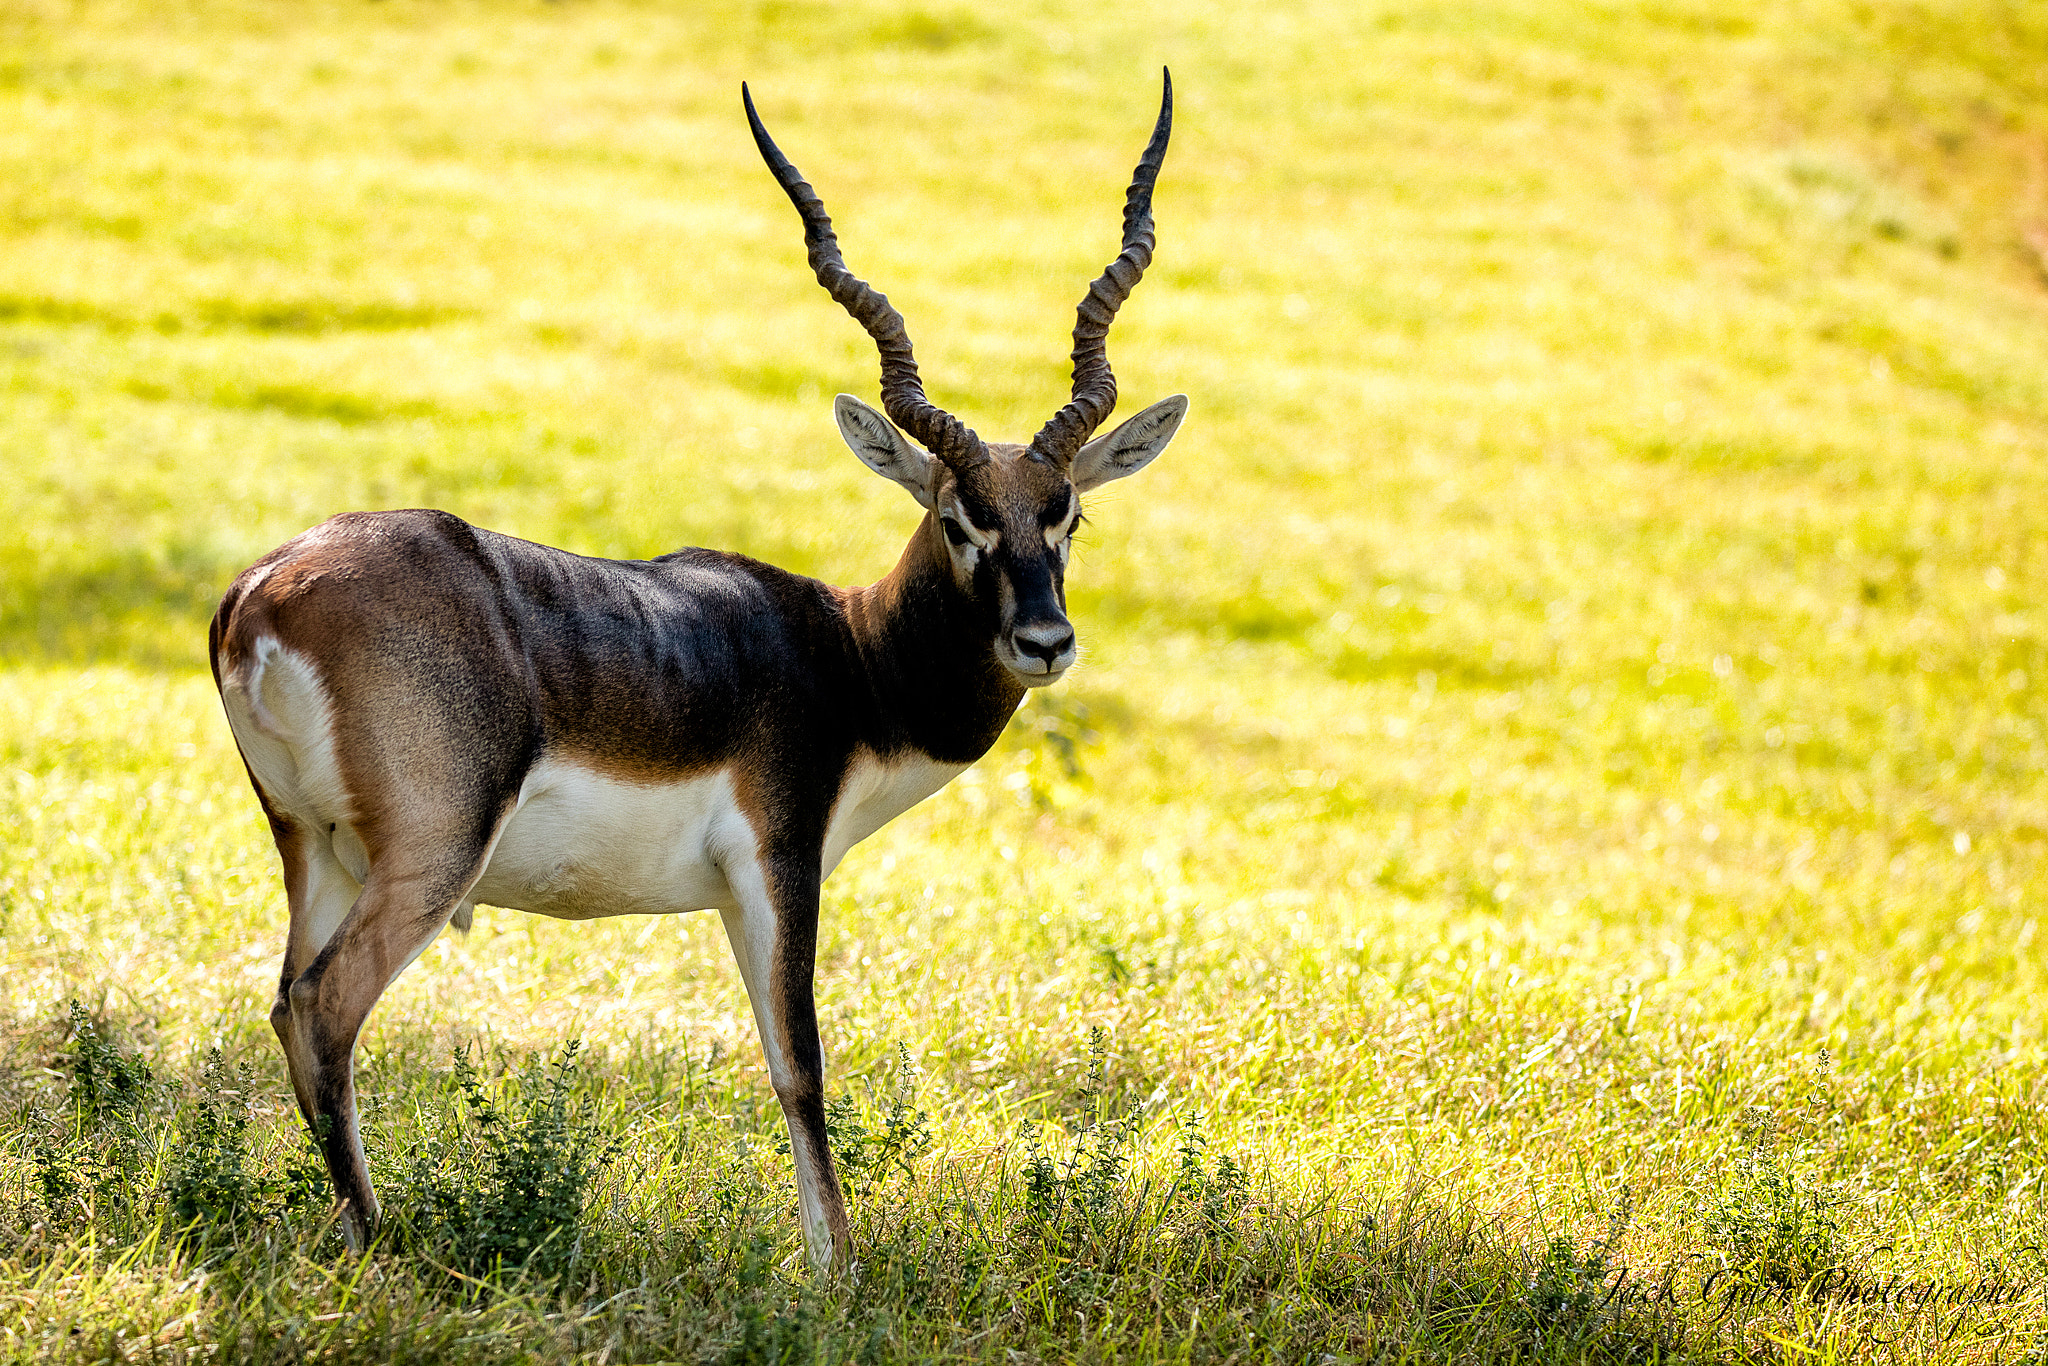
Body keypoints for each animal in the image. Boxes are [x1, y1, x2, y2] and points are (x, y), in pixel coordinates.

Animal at [208, 73, 1185, 1273]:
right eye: (959, 519)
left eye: (1067, 515)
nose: (1044, 641)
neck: (845, 653)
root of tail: (263, 591)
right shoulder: (780, 860)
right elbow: (800, 1067)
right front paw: (836, 1272)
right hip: (432, 854)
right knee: (325, 1008)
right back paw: (378, 1248)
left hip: (314, 851)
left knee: (283, 1003)